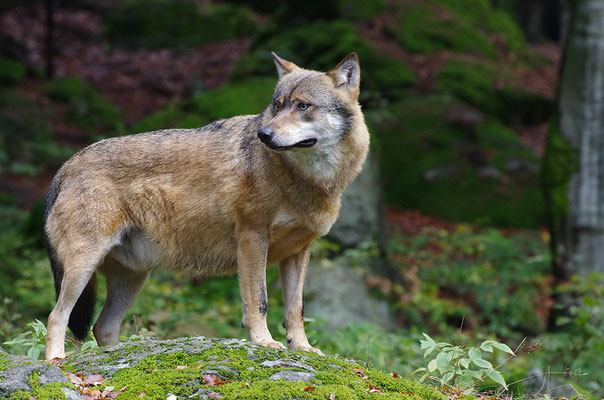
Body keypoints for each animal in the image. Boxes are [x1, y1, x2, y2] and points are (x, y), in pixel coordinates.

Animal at [43, 51, 368, 360]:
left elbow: (295, 310)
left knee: (102, 326)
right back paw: (56, 360)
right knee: (56, 316)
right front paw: (264, 342)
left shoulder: (299, 251)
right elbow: (259, 302)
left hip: (132, 277)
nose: (264, 134)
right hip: (84, 267)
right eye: (277, 106)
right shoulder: (251, 239)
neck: (307, 179)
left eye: (303, 106)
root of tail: (66, 166)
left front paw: (303, 348)